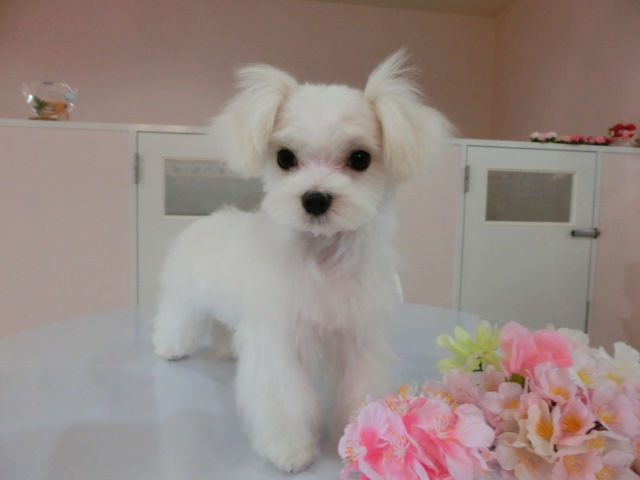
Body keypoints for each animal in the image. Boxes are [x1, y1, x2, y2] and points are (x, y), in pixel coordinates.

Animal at [151, 50, 450, 472]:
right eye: (284, 157)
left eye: (360, 158)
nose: (315, 198)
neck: (321, 257)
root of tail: (207, 221)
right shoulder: (279, 342)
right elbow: (285, 400)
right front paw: (289, 450)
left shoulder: (357, 339)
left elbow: (358, 387)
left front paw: (357, 433)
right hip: (185, 296)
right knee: (176, 320)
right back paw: (169, 347)